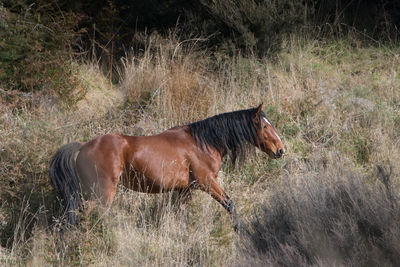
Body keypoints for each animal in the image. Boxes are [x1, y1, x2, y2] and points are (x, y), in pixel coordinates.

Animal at [50, 103, 284, 231]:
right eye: (264, 126)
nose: (281, 150)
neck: (203, 142)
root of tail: (82, 146)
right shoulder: (207, 182)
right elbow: (230, 204)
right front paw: (239, 230)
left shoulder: (185, 190)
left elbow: (180, 215)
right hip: (103, 192)